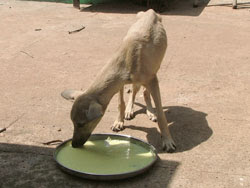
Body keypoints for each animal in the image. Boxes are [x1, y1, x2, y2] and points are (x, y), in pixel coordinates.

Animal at [61, 9, 176, 152]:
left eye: (81, 124)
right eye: (73, 122)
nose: (74, 145)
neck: (126, 58)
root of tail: (150, 11)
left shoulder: (152, 80)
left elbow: (161, 114)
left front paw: (167, 139)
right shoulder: (120, 83)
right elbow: (120, 102)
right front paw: (119, 121)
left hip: (156, 68)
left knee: (144, 91)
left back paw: (150, 111)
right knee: (135, 91)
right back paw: (130, 110)